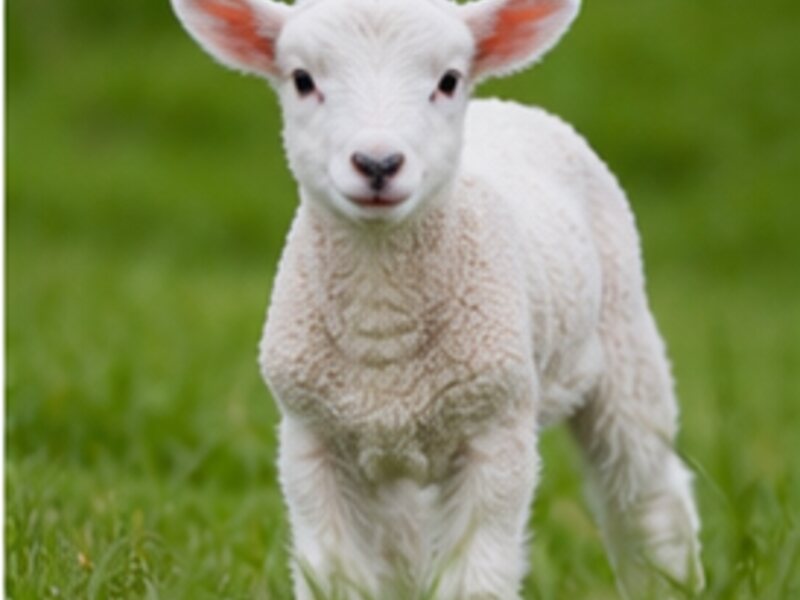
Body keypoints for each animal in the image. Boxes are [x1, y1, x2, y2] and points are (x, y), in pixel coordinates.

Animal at [171, 0, 705, 597]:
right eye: (303, 80)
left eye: (448, 80)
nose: (378, 163)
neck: (383, 333)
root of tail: (505, 105)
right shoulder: (314, 440)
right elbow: (336, 573)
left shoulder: (496, 432)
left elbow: (478, 575)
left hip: (623, 334)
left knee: (647, 493)